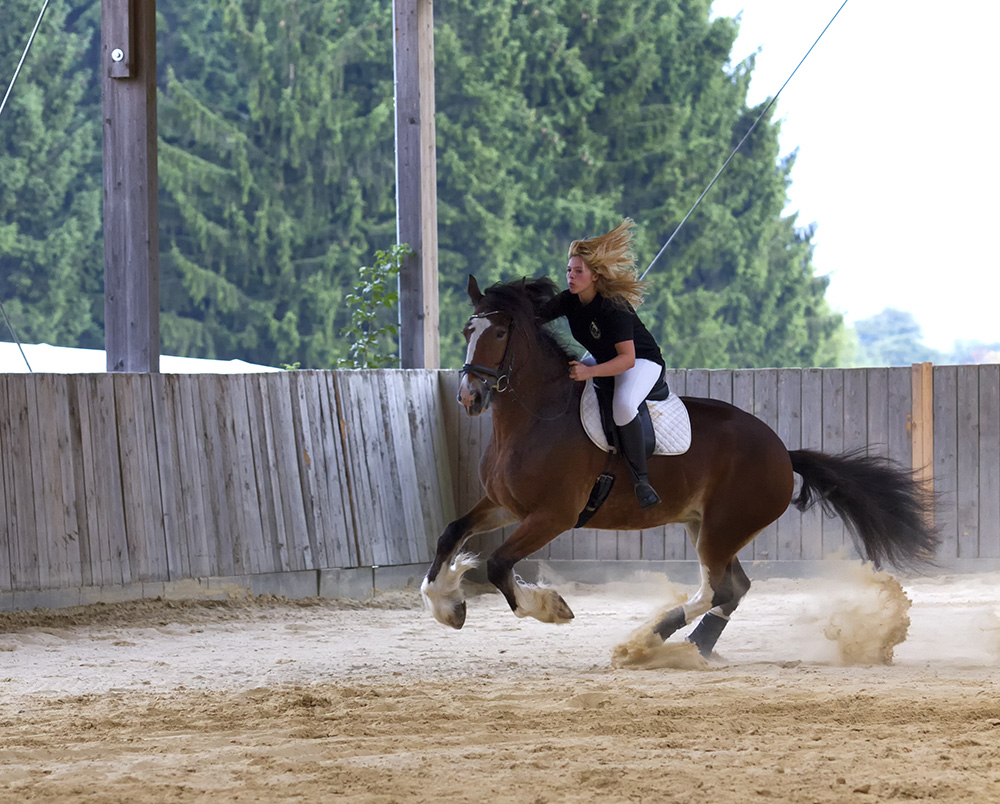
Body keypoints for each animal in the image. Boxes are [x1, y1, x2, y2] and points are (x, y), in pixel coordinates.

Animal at [422, 276, 936, 660]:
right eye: (468, 332)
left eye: (499, 333)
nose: (469, 398)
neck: (535, 418)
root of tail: (781, 452)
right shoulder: (505, 505)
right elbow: (451, 533)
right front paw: (447, 605)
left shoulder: (552, 516)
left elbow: (497, 564)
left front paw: (550, 606)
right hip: (707, 525)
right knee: (734, 588)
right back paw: (692, 647)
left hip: (722, 529)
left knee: (719, 591)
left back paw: (651, 638)